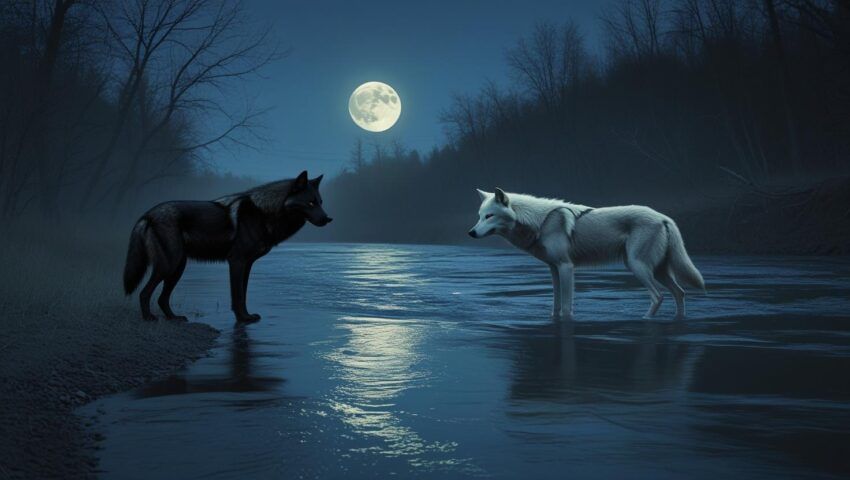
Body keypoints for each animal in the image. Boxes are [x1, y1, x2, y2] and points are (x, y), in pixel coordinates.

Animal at [123, 170, 332, 322]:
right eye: (310, 202)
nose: (328, 219)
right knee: (144, 293)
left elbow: (243, 294)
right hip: (169, 265)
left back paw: (174, 318)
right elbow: (237, 295)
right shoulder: (236, 262)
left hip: (177, 268)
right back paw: (149, 318)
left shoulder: (247, 265)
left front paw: (246, 316)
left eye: (321, 202)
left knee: (162, 298)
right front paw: (243, 319)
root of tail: (147, 215)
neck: (264, 213)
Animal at [468, 188, 704, 320]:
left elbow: (565, 308)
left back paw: (644, 319)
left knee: (658, 296)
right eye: (479, 216)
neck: (541, 222)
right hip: (658, 271)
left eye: (489, 216)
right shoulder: (553, 269)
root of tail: (665, 218)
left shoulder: (566, 267)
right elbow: (555, 306)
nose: (471, 233)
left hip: (638, 267)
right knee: (680, 293)